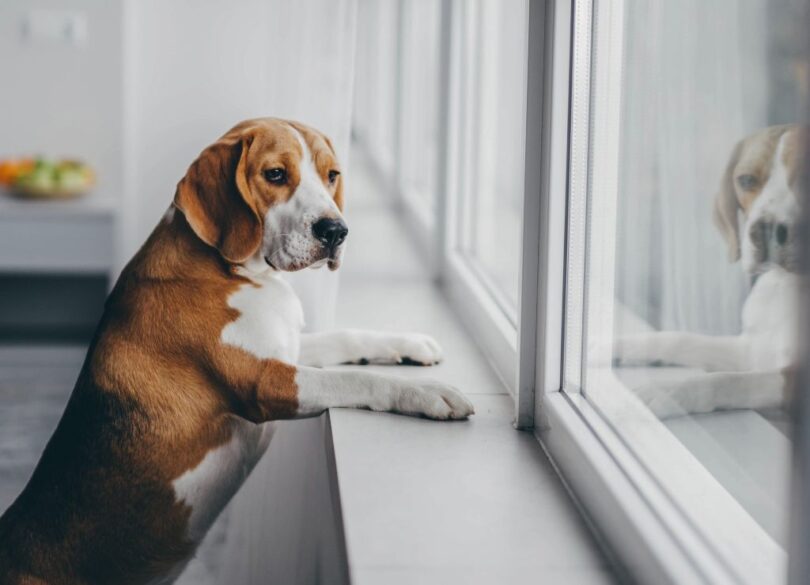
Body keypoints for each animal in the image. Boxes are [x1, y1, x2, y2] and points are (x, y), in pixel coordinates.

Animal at [0, 118, 474, 584]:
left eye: (332, 175)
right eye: (276, 174)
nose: (336, 231)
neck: (234, 270)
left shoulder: (287, 347)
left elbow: (347, 338)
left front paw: (410, 343)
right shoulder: (266, 383)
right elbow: (353, 378)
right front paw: (430, 393)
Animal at [612, 124, 800, 416]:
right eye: (747, 180)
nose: (764, 231)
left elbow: (729, 381)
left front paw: (666, 392)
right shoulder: (750, 350)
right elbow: (679, 339)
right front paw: (607, 345)